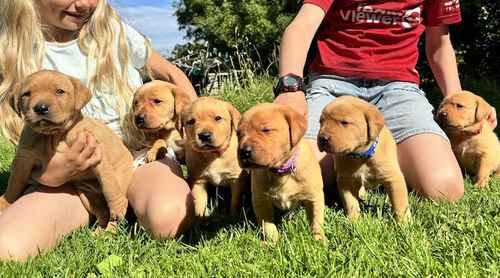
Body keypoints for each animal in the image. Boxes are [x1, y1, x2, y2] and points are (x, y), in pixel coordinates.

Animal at [0, 70, 134, 230]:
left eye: (59, 91)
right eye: (26, 94)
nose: (41, 108)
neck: (53, 136)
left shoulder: (99, 158)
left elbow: (109, 186)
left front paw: (117, 208)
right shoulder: (23, 160)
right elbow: (14, 184)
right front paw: (5, 202)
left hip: (120, 178)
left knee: (115, 202)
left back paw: (109, 229)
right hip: (86, 194)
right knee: (102, 212)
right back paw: (98, 233)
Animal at [239, 103, 328, 242]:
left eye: (266, 130)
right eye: (239, 134)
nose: (243, 152)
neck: (281, 171)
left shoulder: (314, 196)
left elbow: (316, 220)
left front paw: (319, 239)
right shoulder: (261, 200)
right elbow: (267, 225)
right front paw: (273, 242)